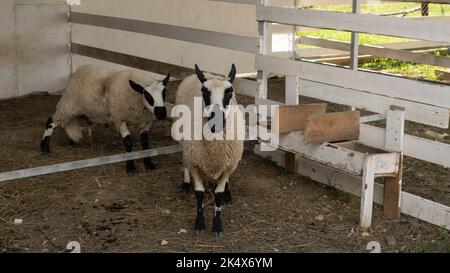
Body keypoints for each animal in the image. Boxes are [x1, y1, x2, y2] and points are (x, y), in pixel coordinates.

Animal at [40, 64, 171, 172]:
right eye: (147, 95)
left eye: (164, 92)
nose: (162, 113)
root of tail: (80, 69)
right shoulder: (119, 119)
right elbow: (128, 142)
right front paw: (130, 167)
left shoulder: (147, 121)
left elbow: (145, 143)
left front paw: (149, 164)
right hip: (68, 105)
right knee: (51, 122)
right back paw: (44, 148)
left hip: (77, 111)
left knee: (69, 124)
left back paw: (72, 141)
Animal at [174, 63, 244, 236]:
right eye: (204, 91)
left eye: (229, 91)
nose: (216, 120)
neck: (214, 148)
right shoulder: (194, 162)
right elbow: (199, 194)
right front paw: (199, 223)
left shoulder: (229, 164)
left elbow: (218, 195)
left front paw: (217, 226)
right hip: (184, 143)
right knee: (184, 161)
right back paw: (186, 183)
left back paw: (228, 193)